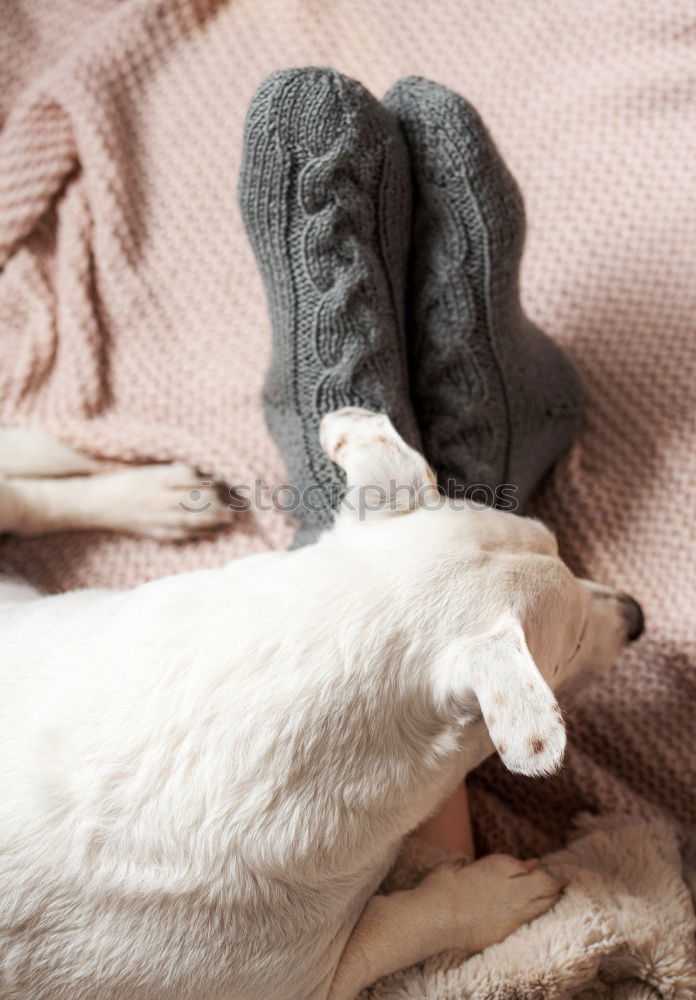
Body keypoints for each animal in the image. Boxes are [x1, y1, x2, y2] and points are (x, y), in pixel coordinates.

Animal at [0, 408, 640, 1000]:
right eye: (574, 642)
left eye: (560, 547)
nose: (637, 616)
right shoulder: (303, 983)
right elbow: (397, 926)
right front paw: (490, 895)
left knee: (24, 501)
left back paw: (151, 497)